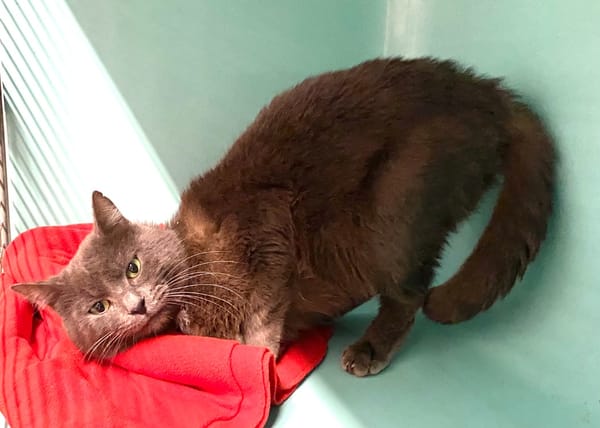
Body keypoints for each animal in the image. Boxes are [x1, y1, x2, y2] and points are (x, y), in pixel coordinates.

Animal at [13, 57, 555, 377]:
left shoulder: (266, 223)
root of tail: (488, 95)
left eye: (133, 266)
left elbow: (263, 311)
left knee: (410, 295)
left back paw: (369, 350)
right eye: (98, 308)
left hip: (397, 203)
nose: (136, 303)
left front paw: (263, 358)